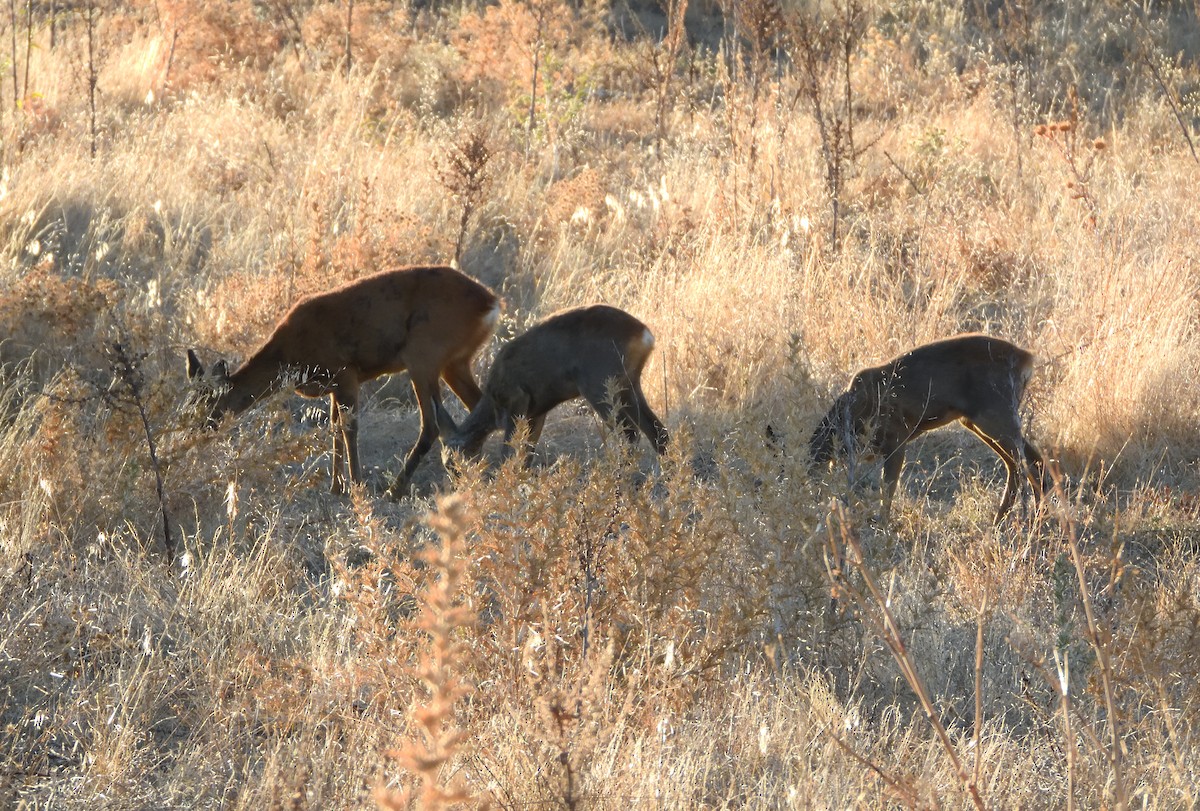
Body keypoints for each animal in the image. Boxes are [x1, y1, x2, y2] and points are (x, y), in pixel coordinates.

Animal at [186, 265, 500, 498]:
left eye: (205, 405)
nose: (192, 435)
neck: (287, 356)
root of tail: (490, 303)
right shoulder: (334, 387)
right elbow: (334, 427)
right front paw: (336, 487)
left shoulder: (346, 373)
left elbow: (349, 428)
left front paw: (356, 486)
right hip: (454, 362)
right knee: (481, 408)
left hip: (423, 355)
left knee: (432, 424)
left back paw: (395, 490)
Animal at [440, 304, 669, 465]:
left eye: (451, 463)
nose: (459, 485)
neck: (492, 402)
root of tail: (645, 335)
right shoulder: (536, 412)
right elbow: (526, 454)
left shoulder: (516, 399)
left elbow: (508, 453)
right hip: (630, 384)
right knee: (657, 431)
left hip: (599, 384)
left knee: (630, 434)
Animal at [807, 333, 1046, 524]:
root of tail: (1026, 358)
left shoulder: (897, 437)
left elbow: (888, 488)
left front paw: (883, 524)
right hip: (976, 421)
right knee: (1025, 462)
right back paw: (1016, 519)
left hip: (994, 413)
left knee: (1027, 464)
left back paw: (1026, 520)